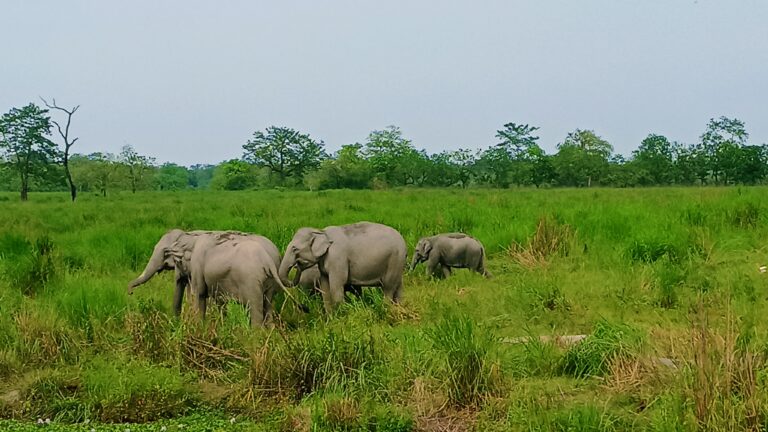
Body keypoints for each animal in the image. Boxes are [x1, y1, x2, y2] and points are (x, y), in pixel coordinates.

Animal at [127, 229, 283, 317]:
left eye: (166, 252)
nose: (130, 292)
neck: (191, 234)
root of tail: (268, 260)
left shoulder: (197, 264)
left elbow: (199, 295)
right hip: (268, 282)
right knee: (268, 306)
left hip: (251, 281)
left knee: (255, 308)